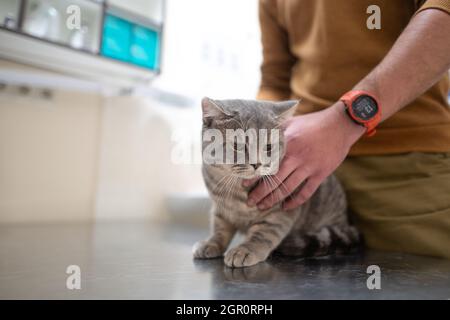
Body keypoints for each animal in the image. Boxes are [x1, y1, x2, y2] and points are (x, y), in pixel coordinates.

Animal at [192, 97, 360, 268]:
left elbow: (264, 233)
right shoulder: (220, 207)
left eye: (268, 147)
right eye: (238, 145)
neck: (237, 191)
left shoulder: (280, 211)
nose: (257, 164)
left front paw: (246, 250)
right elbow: (219, 228)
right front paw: (211, 243)